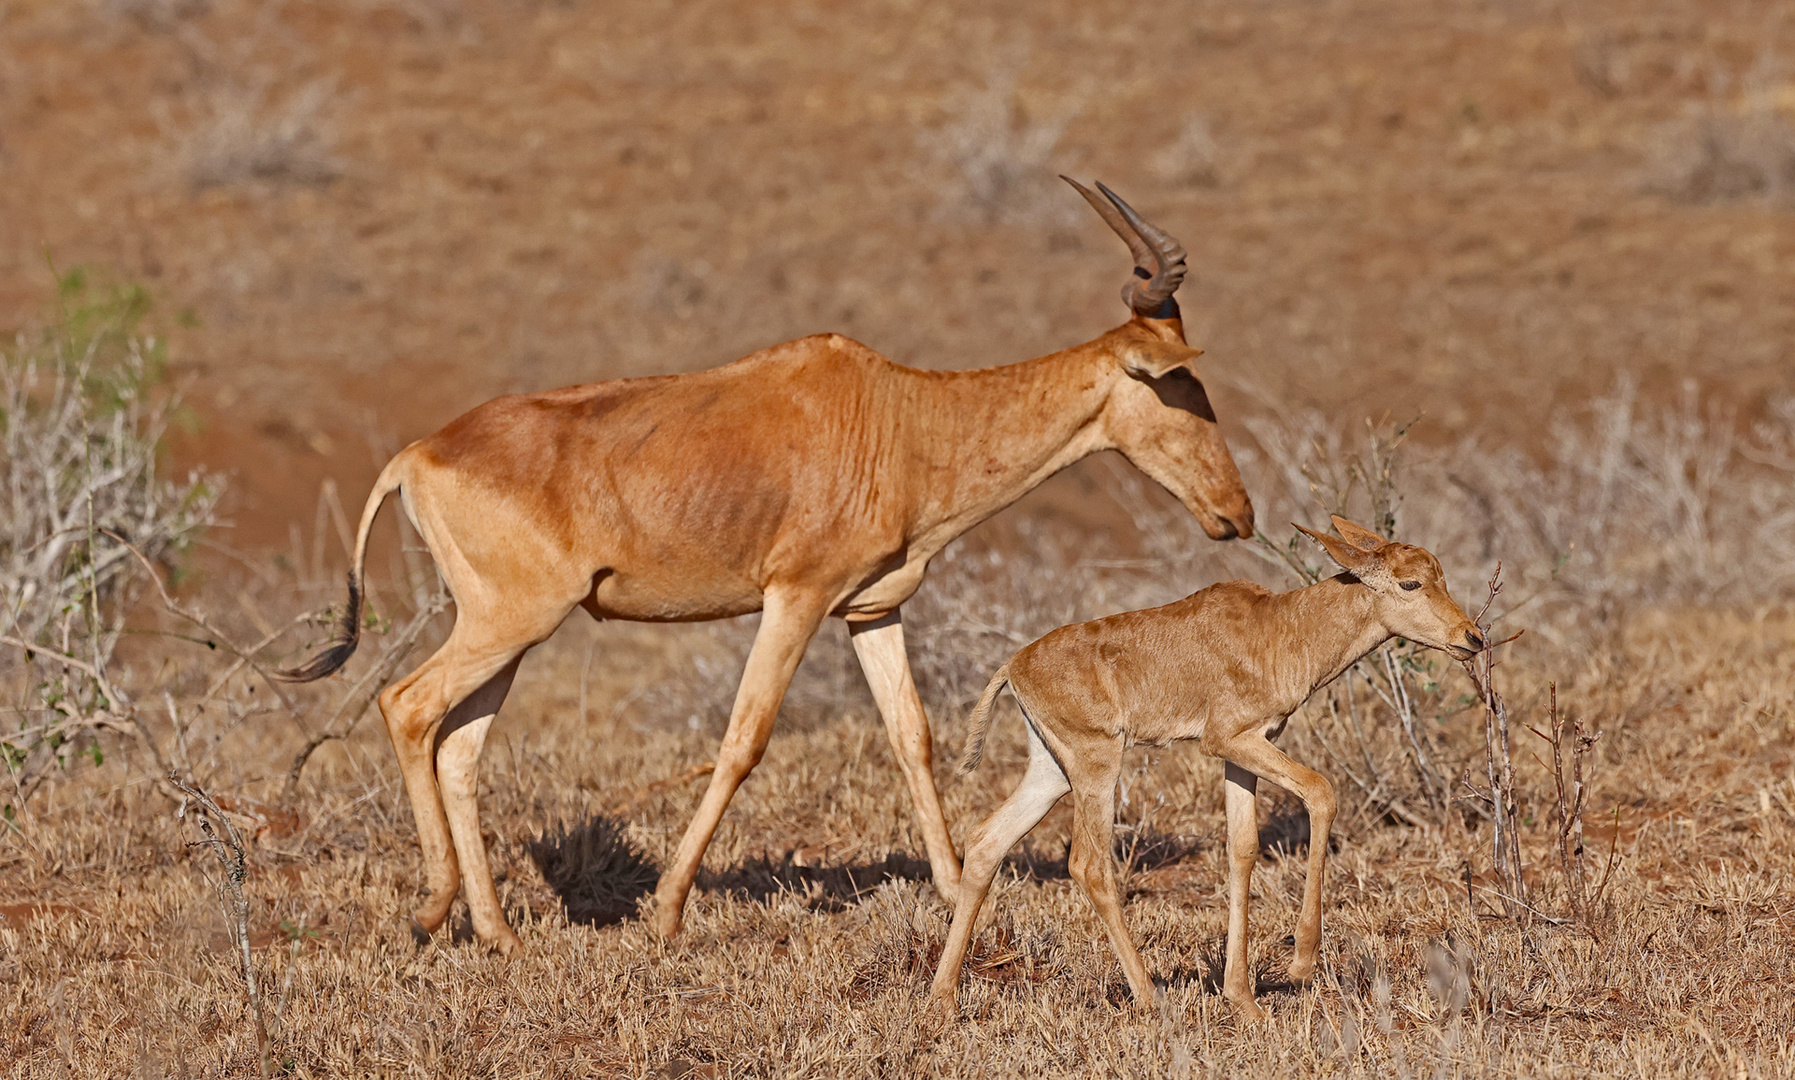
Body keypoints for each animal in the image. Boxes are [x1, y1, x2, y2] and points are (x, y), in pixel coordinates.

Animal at [280, 178, 1256, 947]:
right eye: (1180, 383)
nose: (1236, 514)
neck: (896, 412)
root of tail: (417, 454)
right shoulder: (795, 597)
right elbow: (743, 739)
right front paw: (667, 912)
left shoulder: (870, 609)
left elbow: (912, 736)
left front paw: (954, 895)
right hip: (510, 619)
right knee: (407, 706)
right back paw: (431, 910)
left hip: (509, 631)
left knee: (459, 746)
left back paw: (497, 934)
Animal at [933, 516, 1479, 1011]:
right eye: (1411, 582)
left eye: (1441, 575)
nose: (1471, 638)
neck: (1279, 626)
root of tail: (1013, 665)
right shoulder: (1226, 741)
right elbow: (1322, 792)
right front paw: (1300, 963)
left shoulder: (1244, 751)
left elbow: (1243, 848)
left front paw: (1243, 998)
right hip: (1096, 763)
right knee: (1088, 865)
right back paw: (1150, 999)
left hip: (1050, 771)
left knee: (986, 841)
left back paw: (943, 997)